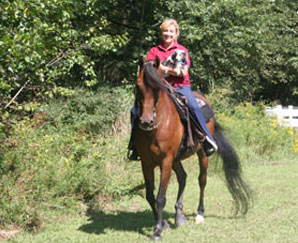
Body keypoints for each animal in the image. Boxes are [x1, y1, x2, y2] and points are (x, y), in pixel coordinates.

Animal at [134, 58, 253, 240]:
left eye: (157, 88)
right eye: (138, 86)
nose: (146, 121)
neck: (155, 128)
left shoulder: (165, 161)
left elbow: (160, 197)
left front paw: (157, 231)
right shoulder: (146, 163)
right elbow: (149, 195)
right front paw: (163, 223)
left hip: (202, 154)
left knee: (202, 180)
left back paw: (199, 214)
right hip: (176, 158)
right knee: (183, 177)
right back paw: (179, 216)